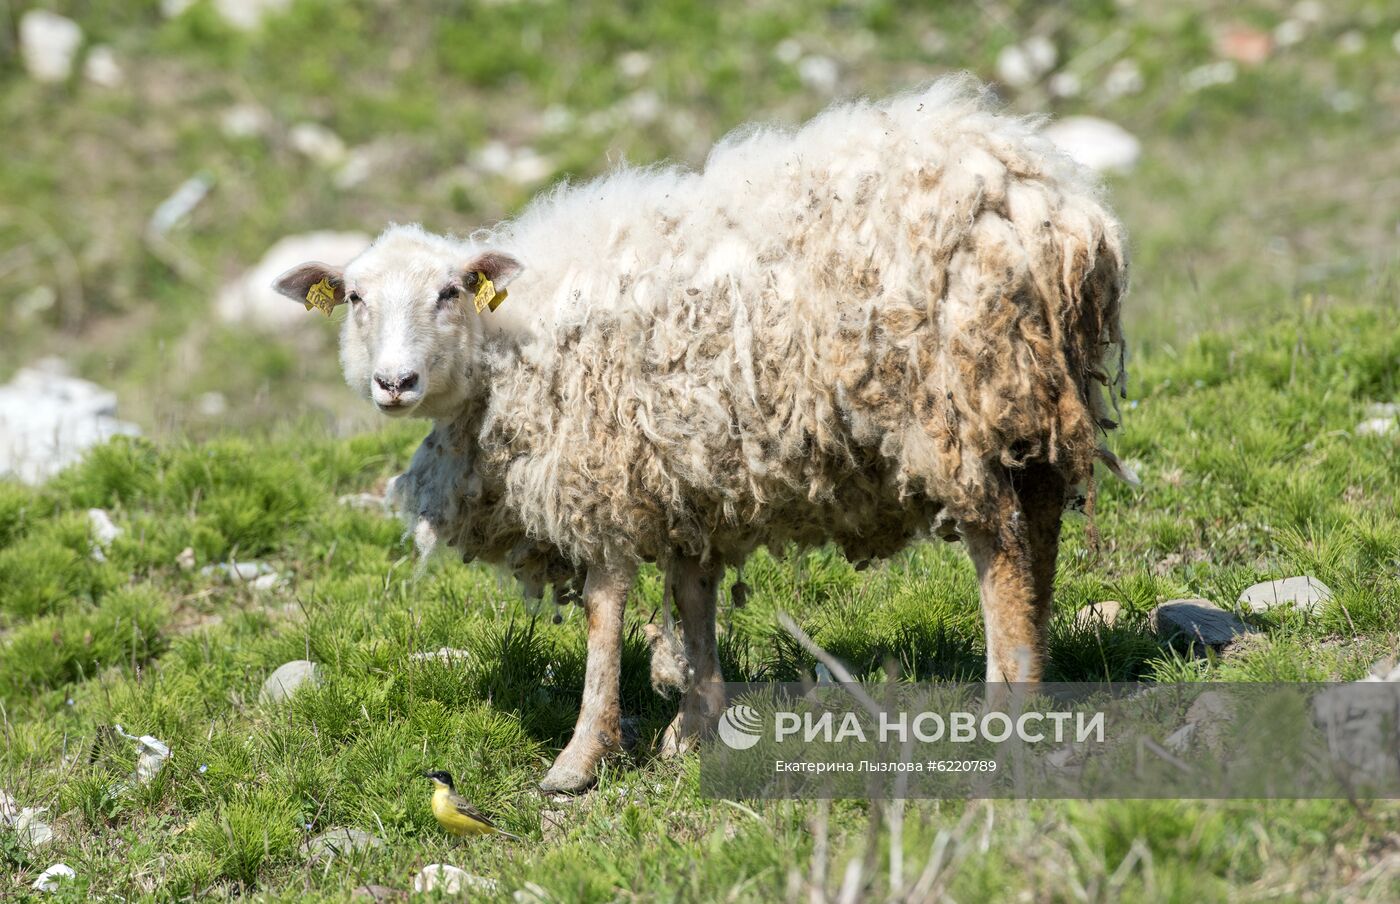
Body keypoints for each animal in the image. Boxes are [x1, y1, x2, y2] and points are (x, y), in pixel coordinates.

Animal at [273, 78, 1125, 794]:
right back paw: (1041, 674)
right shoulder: (684, 462)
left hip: (957, 399)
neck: (510, 339)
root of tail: (1055, 205)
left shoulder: (599, 465)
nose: (395, 383)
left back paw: (1006, 707)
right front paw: (694, 726)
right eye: (354, 298)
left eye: (450, 292)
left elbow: (605, 605)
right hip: (1029, 393)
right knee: (1040, 523)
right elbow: (692, 589)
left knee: (1001, 542)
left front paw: (580, 759)